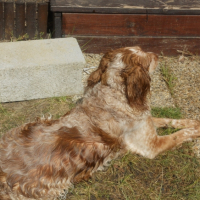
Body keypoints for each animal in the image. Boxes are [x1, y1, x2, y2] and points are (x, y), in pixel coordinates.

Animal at [0, 46, 200, 199]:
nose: (157, 54)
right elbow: (179, 135)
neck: (113, 92)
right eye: (148, 59)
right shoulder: (152, 145)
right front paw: (196, 130)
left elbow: (170, 120)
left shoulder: (146, 123)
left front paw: (193, 121)